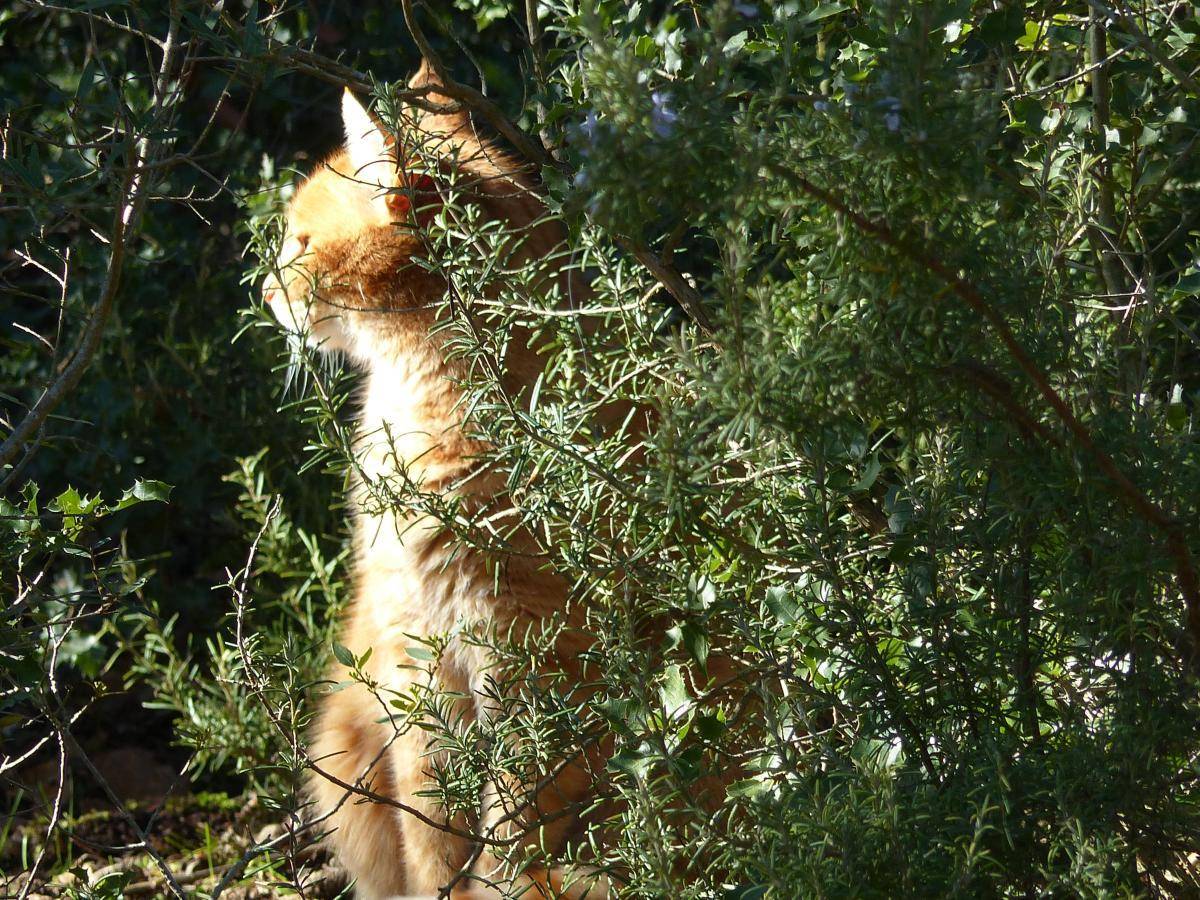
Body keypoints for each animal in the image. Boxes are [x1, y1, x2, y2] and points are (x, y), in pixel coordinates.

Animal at [262, 60, 609, 897]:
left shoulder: (525, 651)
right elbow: (432, 823)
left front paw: (501, 883)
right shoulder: (411, 648)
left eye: (300, 242)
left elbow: (512, 824)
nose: (263, 293)